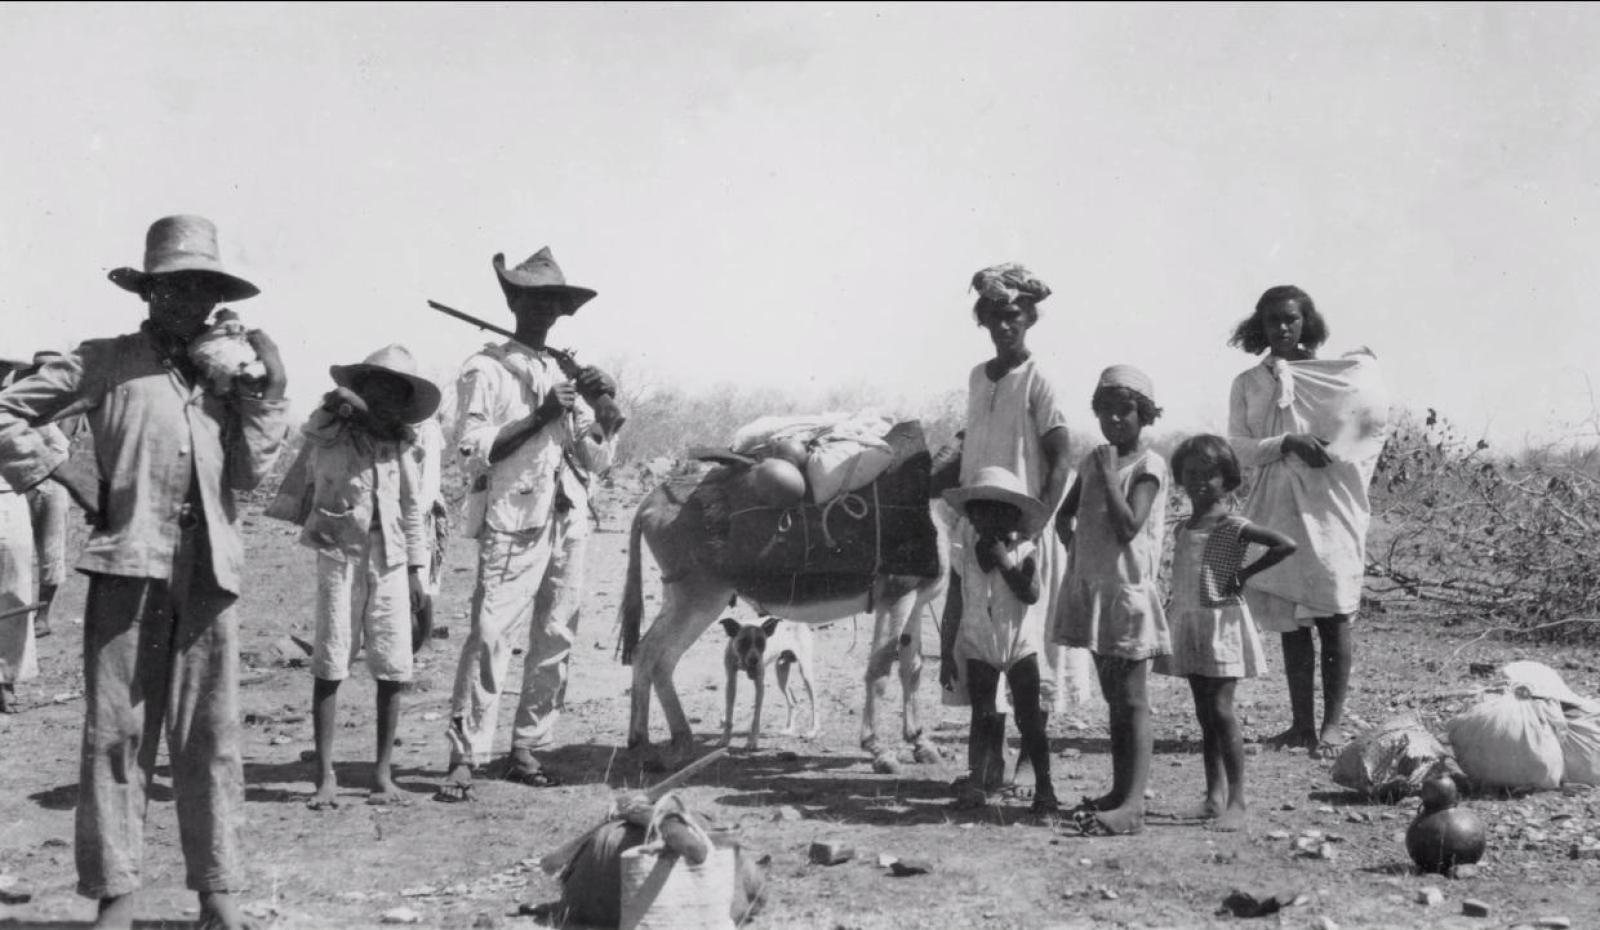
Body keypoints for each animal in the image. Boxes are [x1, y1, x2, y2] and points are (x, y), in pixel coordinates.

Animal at [726, 617, 825, 745]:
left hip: (805, 673)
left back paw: (813, 731)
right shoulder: (730, 682)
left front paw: (752, 741)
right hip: (781, 675)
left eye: (761, 643)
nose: (754, 660)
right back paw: (789, 729)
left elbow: (756, 716)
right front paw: (724, 740)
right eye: (743, 642)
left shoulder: (759, 684)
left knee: (814, 701)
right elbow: (729, 712)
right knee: (793, 702)